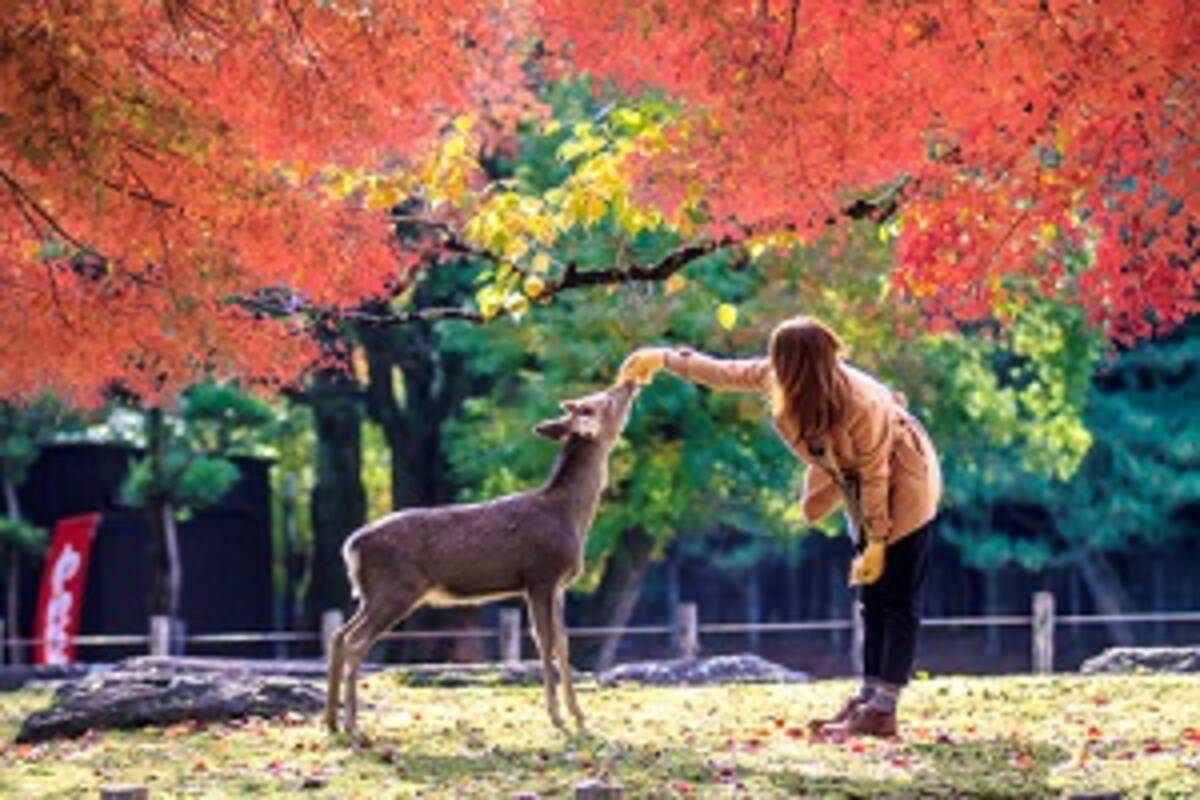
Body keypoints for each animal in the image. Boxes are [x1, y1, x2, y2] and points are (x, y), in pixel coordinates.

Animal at [324, 381, 643, 738]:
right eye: (605, 399)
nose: (629, 383)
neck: (571, 516)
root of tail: (351, 546)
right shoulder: (540, 576)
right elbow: (544, 641)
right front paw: (557, 717)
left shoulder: (558, 585)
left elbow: (562, 642)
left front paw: (579, 715)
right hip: (395, 590)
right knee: (355, 641)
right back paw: (351, 723)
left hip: (372, 594)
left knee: (339, 636)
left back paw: (331, 721)